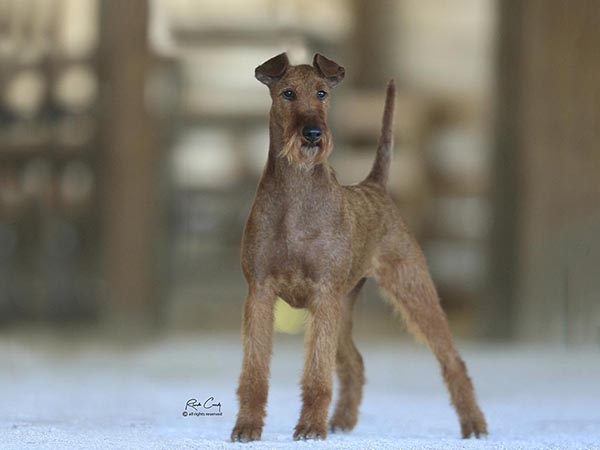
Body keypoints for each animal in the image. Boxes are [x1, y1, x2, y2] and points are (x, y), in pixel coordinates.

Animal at [231, 52, 488, 442]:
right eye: (288, 93)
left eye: (322, 93)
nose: (313, 133)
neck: (296, 194)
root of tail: (376, 185)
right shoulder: (260, 293)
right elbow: (255, 372)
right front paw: (247, 426)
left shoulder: (322, 295)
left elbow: (317, 374)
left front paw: (310, 428)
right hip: (345, 305)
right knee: (355, 362)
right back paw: (342, 421)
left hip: (412, 289)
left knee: (452, 359)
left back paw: (474, 425)